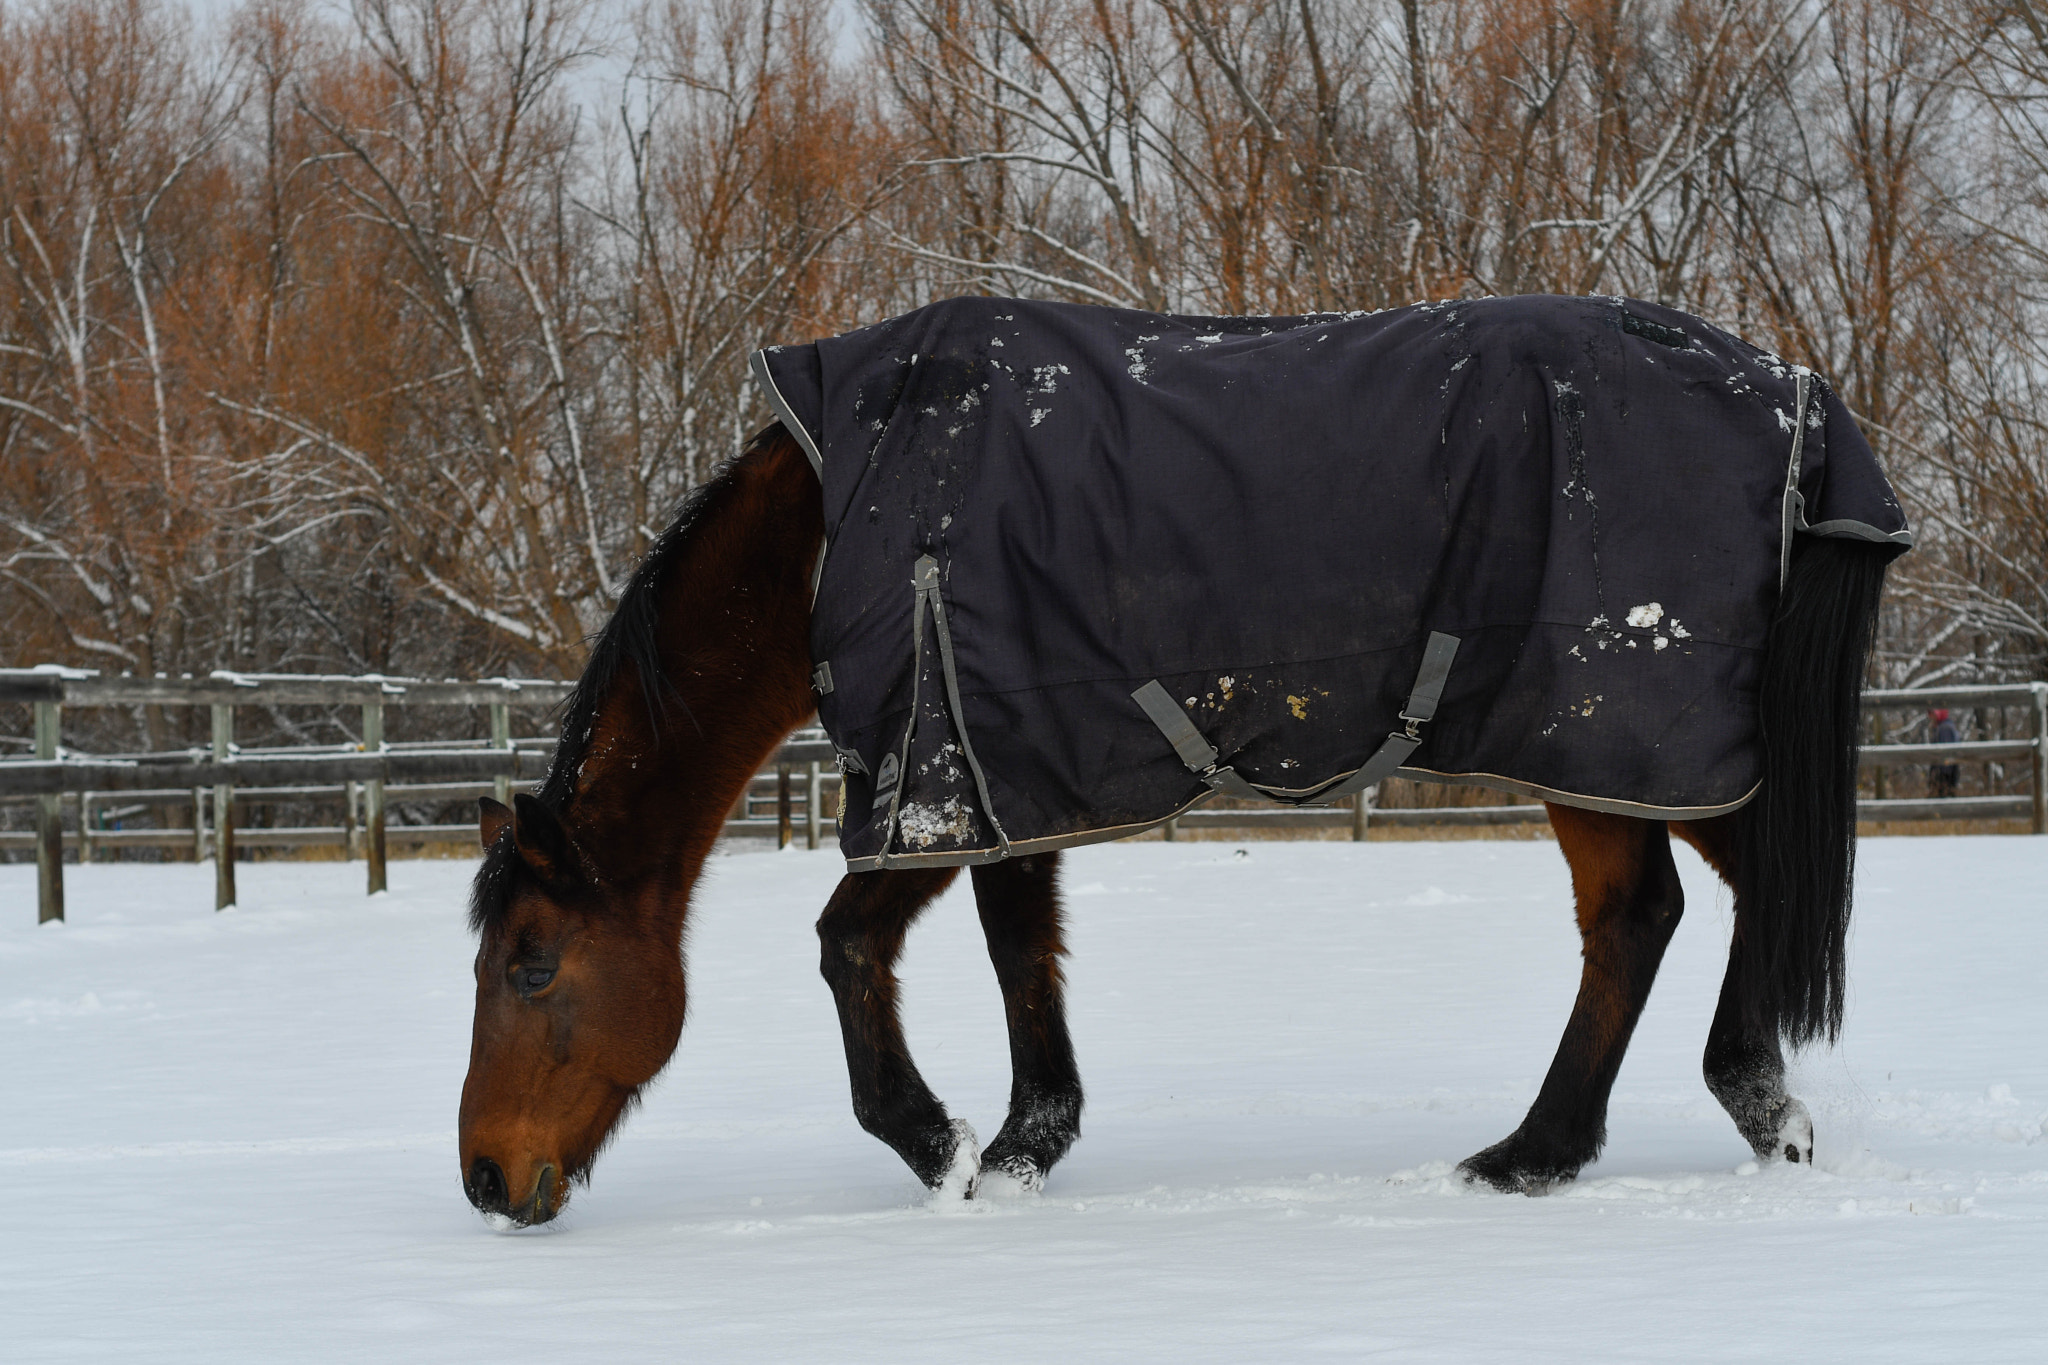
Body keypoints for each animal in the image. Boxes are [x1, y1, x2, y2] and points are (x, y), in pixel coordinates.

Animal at [456, 409, 1892, 1227]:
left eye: (530, 964)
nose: (484, 1179)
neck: (844, 522)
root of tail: (1793, 407)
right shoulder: (1003, 771)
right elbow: (1019, 951)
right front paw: (1027, 1142)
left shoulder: (938, 775)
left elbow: (850, 945)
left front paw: (942, 1148)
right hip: (1616, 754)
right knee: (1662, 913)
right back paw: (1619, 1136)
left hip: (1618, 744)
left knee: (1678, 907)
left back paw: (1624, 1133)